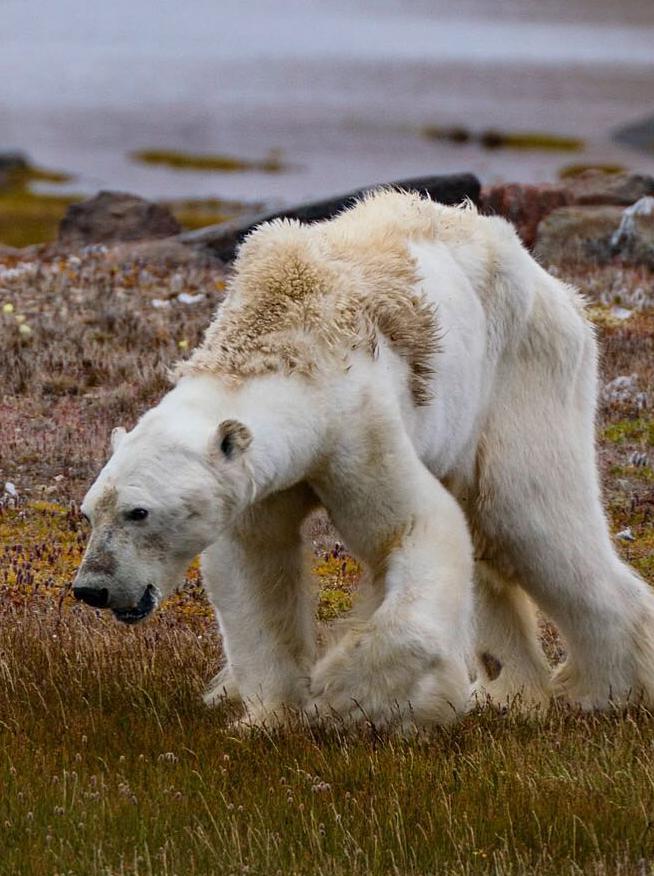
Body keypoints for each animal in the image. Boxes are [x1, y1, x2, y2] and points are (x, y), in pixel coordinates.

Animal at [74, 193, 654, 732]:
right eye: (89, 511)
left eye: (139, 512)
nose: (91, 588)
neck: (281, 339)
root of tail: (559, 289)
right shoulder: (259, 481)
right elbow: (254, 566)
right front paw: (269, 716)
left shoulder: (356, 426)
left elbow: (414, 527)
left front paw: (344, 695)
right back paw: (509, 692)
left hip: (521, 373)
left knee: (530, 519)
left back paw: (605, 689)